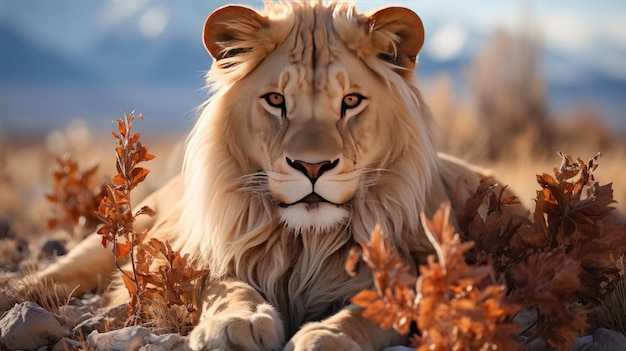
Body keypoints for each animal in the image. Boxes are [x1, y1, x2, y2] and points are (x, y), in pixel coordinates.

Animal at [28, 2, 516, 351]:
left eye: (351, 101)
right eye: (277, 100)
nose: (313, 167)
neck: (308, 243)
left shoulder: (412, 276)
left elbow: (368, 311)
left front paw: (326, 336)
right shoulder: (198, 258)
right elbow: (228, 287)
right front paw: (236, 325)